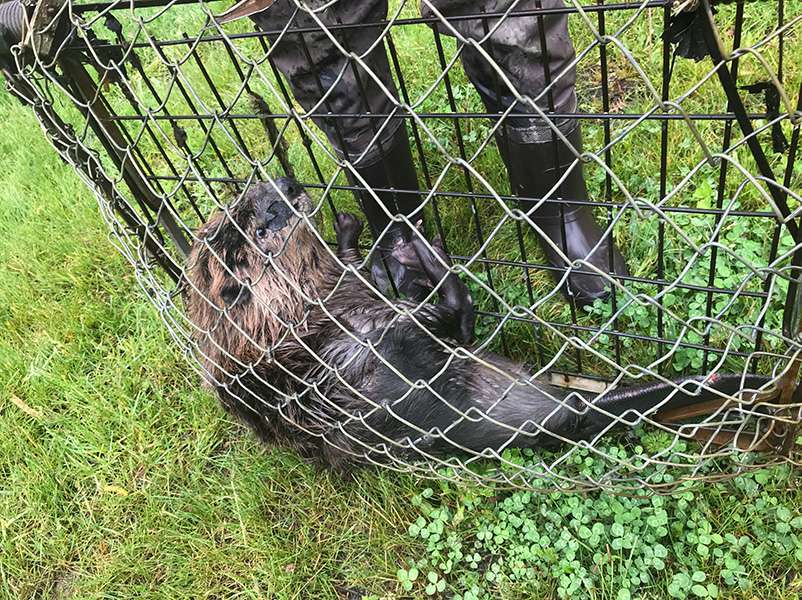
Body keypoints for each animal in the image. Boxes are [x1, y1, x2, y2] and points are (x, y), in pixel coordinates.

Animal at [183, 176, 768, 472]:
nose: (282, 182)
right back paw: (423, 255)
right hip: (391, 352)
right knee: (452, 319)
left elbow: (347, 263)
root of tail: (562, 410)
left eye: (255, 199)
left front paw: (347, 227)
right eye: (261, 222)